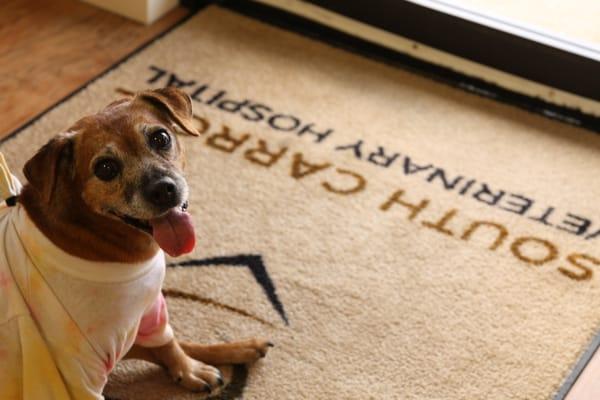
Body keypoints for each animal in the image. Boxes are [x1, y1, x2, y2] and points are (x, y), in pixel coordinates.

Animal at [0, 89, 272, 400]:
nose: (163, 189)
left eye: (160, 137)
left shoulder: (150, 310)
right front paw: (190, 369)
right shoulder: (77, 372)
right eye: (105, 168)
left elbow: (168, 343)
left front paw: (189, 368)